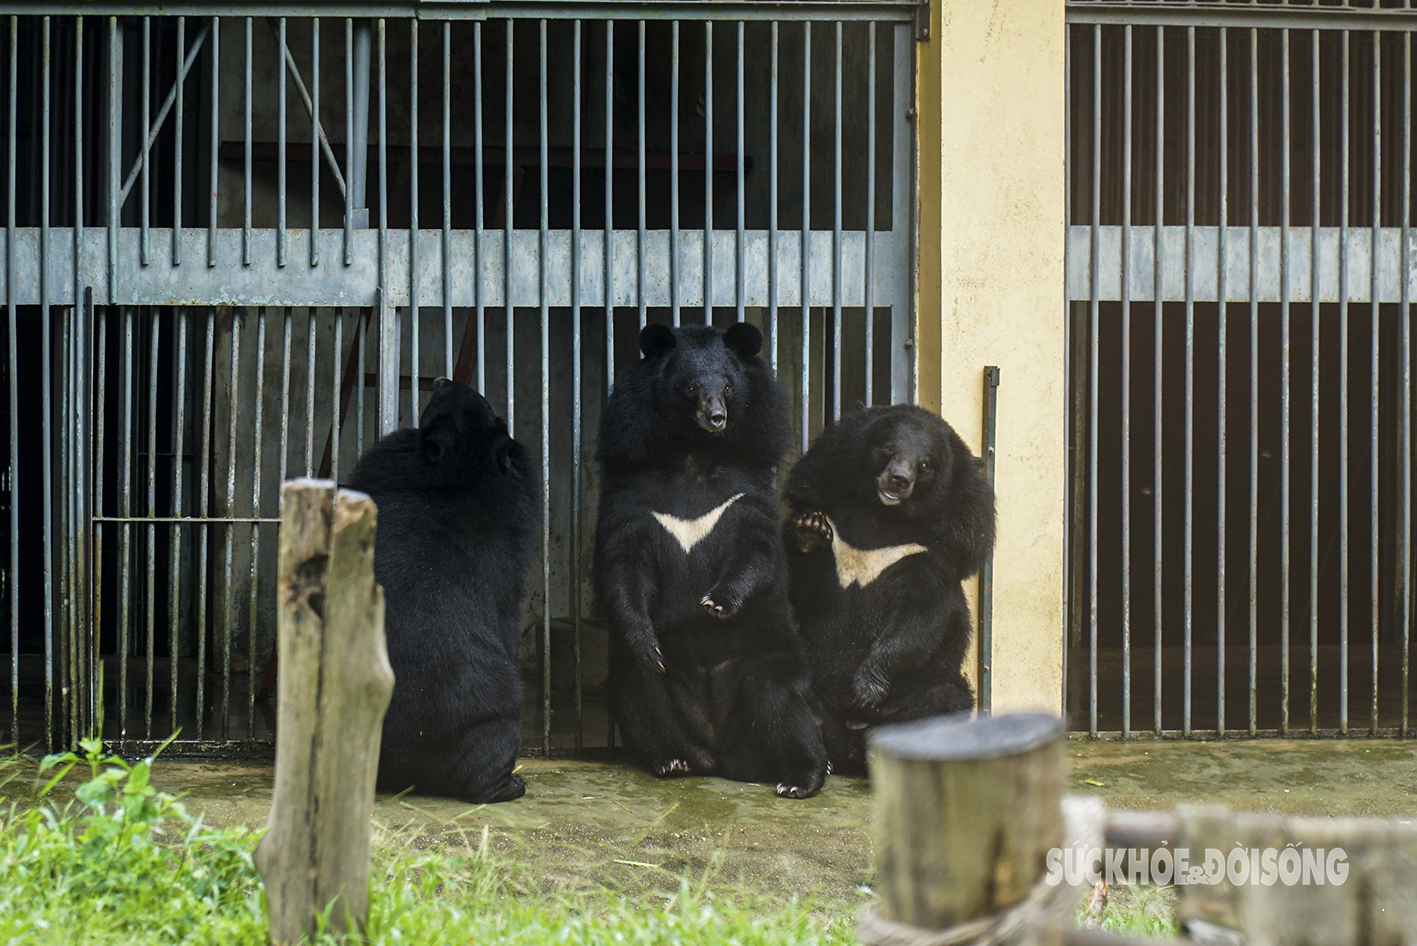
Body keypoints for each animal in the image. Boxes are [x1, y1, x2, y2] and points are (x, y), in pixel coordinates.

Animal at [589, 321, 827, 793]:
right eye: (691, 387)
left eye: (729, 386)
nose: (716, 418)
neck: (694, 454)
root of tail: (722, 755)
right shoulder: (634, 497)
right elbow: (623, 565)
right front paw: (646, 642)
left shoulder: (744, 490)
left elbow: (757, 552)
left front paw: (716, 602)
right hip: (657, 692)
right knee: (636, 689)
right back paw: (670, 760)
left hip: (764, 656)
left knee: (780, 701)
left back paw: (803, 776)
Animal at [787, 407, 997, 776]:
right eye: (887, 449)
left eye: (925, 464)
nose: (898, 479)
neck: (880, 515)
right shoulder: (837, 527)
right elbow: (807, 588)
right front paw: (809, 529)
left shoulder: (932, 550)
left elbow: (920, 618)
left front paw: (866, 687)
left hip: (918, 692)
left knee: (946, 698)